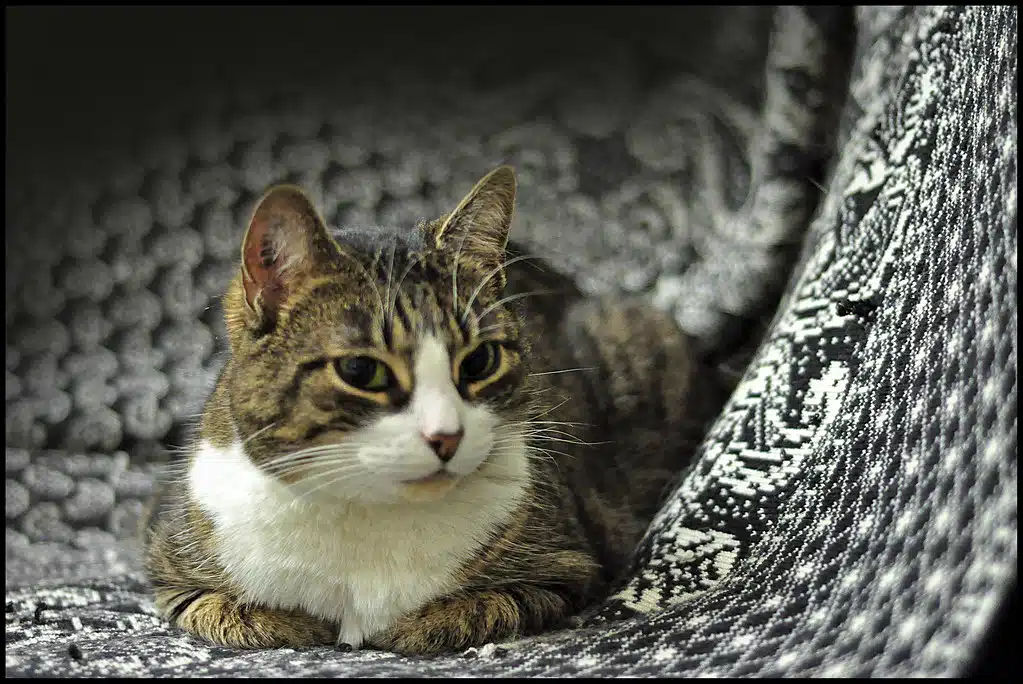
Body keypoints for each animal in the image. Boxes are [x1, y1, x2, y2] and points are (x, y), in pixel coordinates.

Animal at [140, 163, 707, 650]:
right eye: (361, 371)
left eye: (480, 361)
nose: (446, 437)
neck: (368, 516)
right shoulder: (169, 565)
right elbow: (228, 611)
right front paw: (297, 624)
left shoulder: (568, 564)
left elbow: (477, 608)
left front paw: (408, 625)